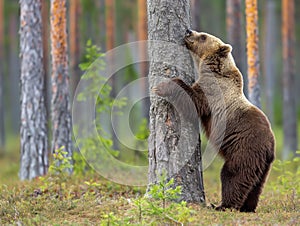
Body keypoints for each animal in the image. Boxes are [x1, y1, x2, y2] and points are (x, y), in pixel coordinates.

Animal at [154, 29, 276, 212]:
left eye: (203, 36)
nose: (188, 31)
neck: (214, 68)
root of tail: (270, 145)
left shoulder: (213, 91)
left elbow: (193, 101)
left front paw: (162, 86)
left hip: (245, 148)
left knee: (234, 174)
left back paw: (222, 205)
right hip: (264, 165)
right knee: (257, 184)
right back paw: (248, 207)